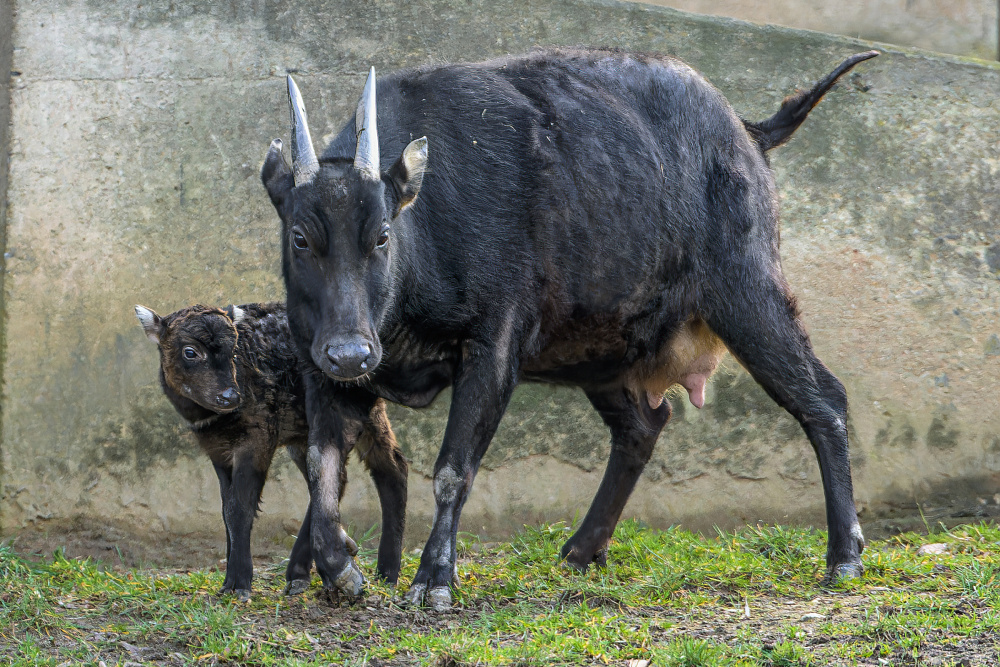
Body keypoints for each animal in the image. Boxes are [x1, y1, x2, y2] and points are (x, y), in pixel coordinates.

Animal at [135, 302, 408, 600]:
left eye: (233, 351)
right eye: (190, 352)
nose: (230, 396)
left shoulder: (258, 438)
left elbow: (240, 508)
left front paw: (240, 584)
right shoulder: (218, 451)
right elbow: (226, 509)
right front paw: (228, 582)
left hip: (354, 410)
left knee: (385, 468)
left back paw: (383, 572)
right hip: (305, 433)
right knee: (352, 473)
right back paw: (321, 571)